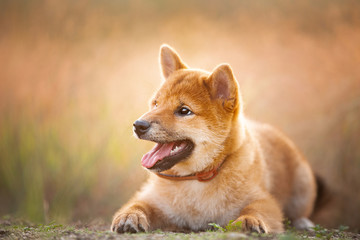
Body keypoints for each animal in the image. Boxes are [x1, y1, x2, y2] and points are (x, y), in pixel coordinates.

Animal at [110, 44, 318, 233]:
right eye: (155, 103)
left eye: (184, 111)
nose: (138, 125)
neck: (197, 179)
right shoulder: (151, 198)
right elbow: (137, 205)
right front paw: (130, 216)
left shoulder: (264, 200)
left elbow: (255, 209)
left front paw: (249, 220)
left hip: (303, 184)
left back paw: (303, 222)